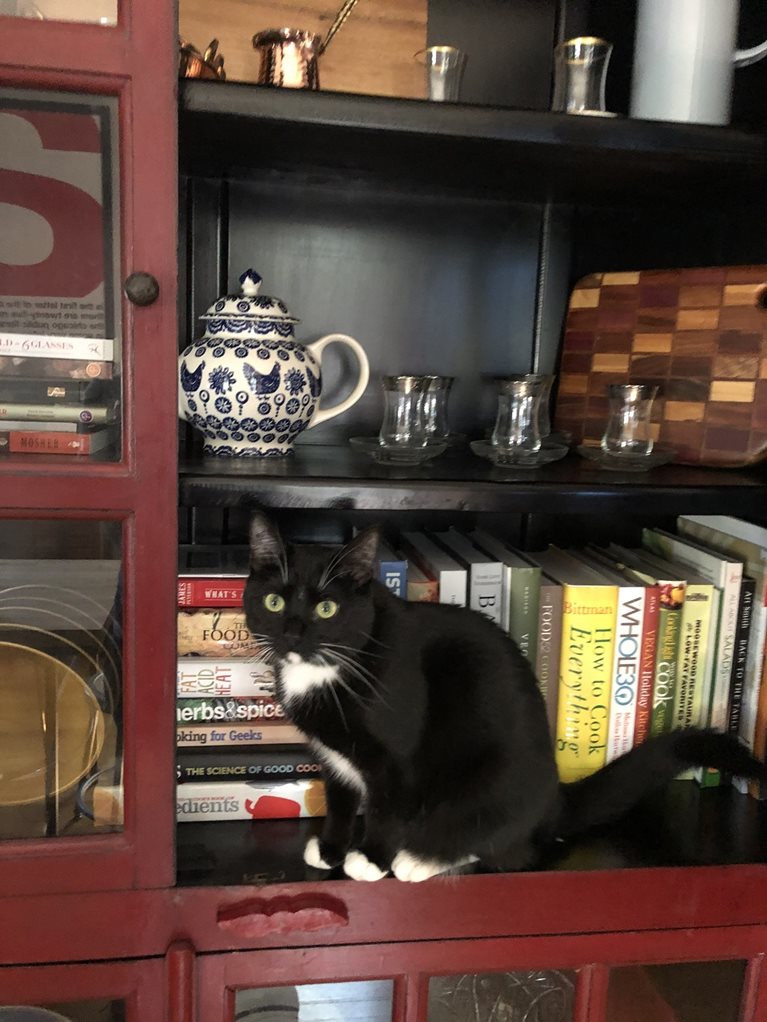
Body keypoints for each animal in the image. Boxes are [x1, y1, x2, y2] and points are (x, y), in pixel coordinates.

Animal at [244, 515, 767, 883]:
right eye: (274, 602)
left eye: (326, 608)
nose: (292, 633)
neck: (326, 668)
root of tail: (553, 798)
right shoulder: (333, 756)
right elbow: (338, 799)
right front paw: (331, 849)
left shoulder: (396, 760)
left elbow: (386, 808)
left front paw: (370, 858)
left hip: (488, 783)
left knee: (505, 844)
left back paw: (420, 859)